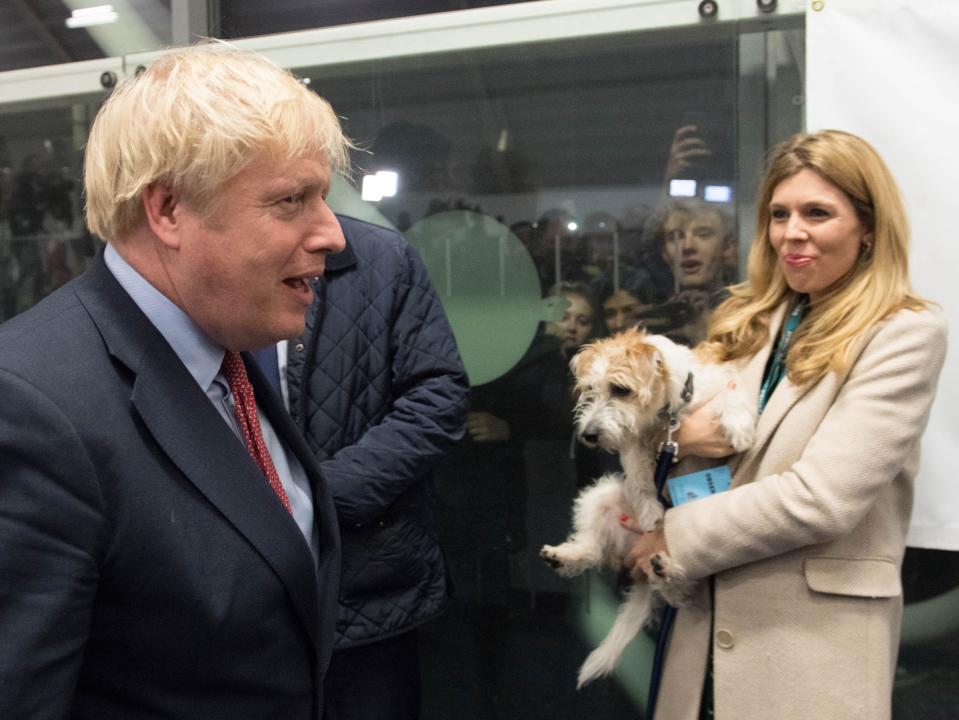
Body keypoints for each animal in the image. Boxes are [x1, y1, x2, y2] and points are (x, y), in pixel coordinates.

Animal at [540, 326, 756, 688]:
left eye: (620, 389)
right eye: (589, 390)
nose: (588, 435)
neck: (668, 414)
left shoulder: (720, 385)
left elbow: (733, 395)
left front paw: (739, 426)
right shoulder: (633, 444)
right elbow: (640, 478)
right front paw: (650, 512)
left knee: (681, 593)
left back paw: (666, 568)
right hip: (600, 496)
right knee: (595, 549)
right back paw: (567, 555)